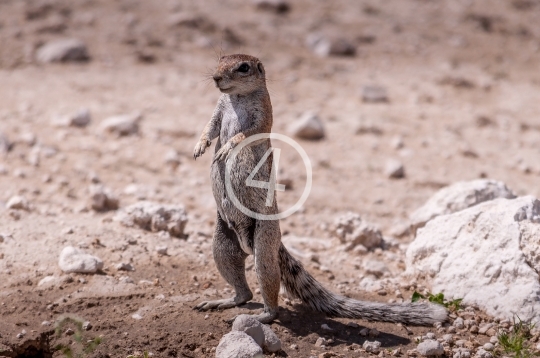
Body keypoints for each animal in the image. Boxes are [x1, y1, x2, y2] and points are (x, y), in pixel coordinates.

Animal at [192, 53, 446, 324]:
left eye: (243, 67)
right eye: (220, 60)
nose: (216, 77)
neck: (237, 97)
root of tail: (249, 243)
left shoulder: (263, 114)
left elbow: (246, 133)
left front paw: (227, 147)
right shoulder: (218, 111)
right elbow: (210, 128)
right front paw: (200, 146)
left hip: (264, 244)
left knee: (268, 290)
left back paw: (262, 316)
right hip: (222, 246)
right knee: (243, 292)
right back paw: (222, 301)